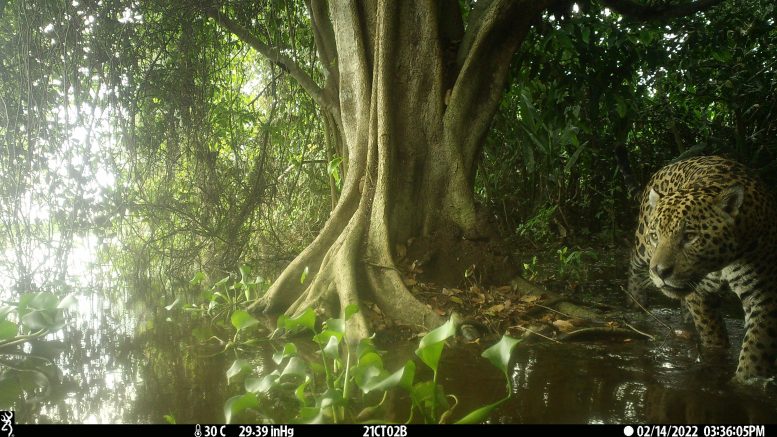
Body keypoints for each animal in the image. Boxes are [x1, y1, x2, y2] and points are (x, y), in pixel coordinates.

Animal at [626, 155, 777, 383]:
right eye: (655, 236)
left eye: (690, 237)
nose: (660, 272)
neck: (723, 263)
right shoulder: (699, 293)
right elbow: (712, 331)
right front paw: (715, 356)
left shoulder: (763, 293)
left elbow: (757, 345)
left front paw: (747, 379)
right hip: (642, 245)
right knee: (634, 261)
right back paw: (636, 299)